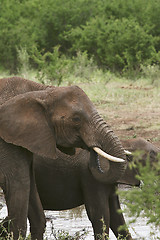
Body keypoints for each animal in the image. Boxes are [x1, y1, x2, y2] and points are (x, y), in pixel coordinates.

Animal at [0, 78, 126, 239]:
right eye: (76, 119)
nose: (92, 147)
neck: (42, 91)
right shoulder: (6, 140)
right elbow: (18, 183)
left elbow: (30, 185)